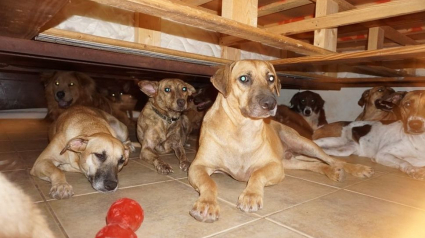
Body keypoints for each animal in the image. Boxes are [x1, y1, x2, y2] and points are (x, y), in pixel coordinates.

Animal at [187, 60, 372, 223]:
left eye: (271, 78)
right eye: (244, 78)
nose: (271, 103)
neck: (241, 128)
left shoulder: (274, 165)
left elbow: (257, 174)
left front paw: (251, 196)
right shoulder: (198, 166)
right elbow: (210, 182)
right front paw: (207, 204)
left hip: (303, 144)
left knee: (332, 159)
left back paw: (356, 168)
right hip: (289, 162)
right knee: (314, 164)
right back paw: (333, 172)